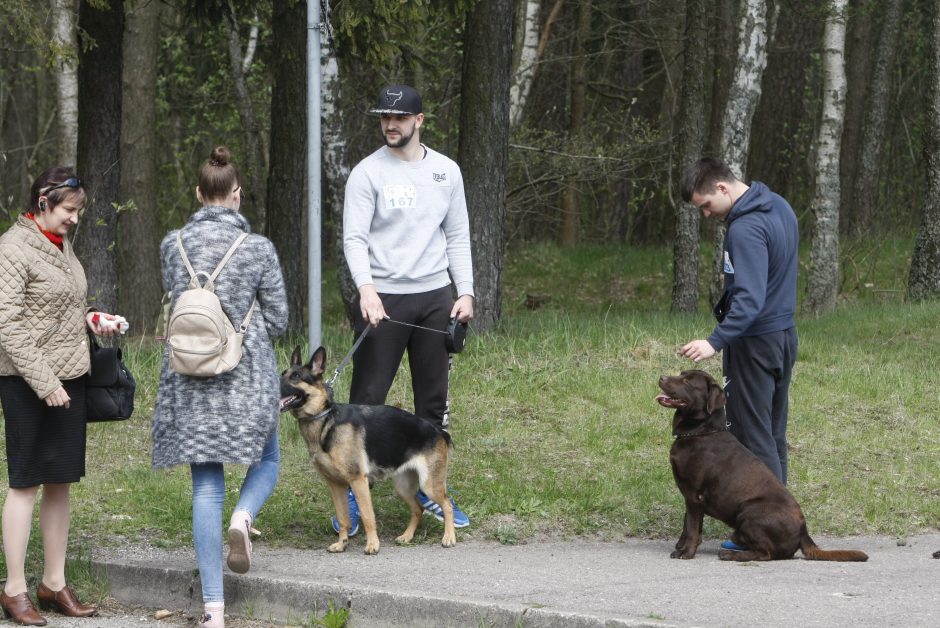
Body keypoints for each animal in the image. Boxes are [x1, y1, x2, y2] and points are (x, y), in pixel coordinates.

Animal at [278, 346, 458, 556]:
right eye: (283, 374)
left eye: (296, 376)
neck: (325, 420)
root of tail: (438, 430)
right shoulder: (336, 485)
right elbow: (343, 518)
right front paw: (342, 543)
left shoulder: (358, 481)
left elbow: (367, 515)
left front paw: (373, 545)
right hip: (403, 487)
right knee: (418, 509)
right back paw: (407, 536)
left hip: (429, 485)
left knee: (447, 505)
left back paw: (449, 537)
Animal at [652, 370, 868, 560]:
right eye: (681, 374)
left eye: (687, 382)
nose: (661, 377)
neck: (701, 432)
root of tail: (803, 531)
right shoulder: (690, 496)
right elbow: (688, 523)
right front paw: (681, 545)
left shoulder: (694, 495)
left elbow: (692, 527)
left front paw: (686, 552)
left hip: (750, 512)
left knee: (766, 554)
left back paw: (732, 554)